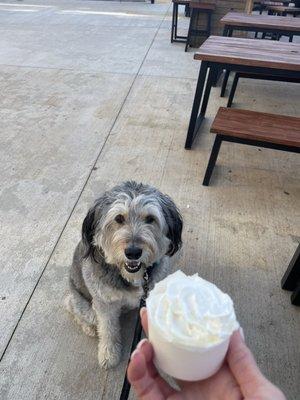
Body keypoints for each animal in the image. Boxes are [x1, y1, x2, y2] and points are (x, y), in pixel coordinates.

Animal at [64, 181, 182, 368]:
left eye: (150, 218)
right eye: (119, 218)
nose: (133, 252)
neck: (132, 276)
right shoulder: (104, 303)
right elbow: (108, 329)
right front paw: (108, 354)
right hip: (84, 305)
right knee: (72, 307)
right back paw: (89, 328)